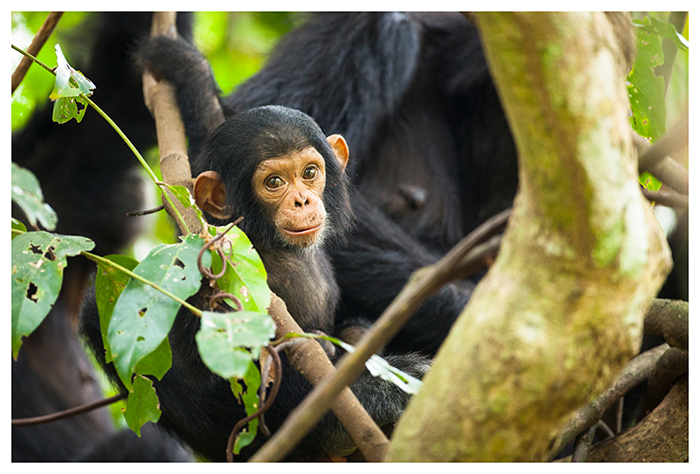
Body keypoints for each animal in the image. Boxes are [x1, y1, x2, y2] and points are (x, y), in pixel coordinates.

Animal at [79, 104, 430, 462]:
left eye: (310, 172)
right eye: (274, 182)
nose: (302, 200)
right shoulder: (204, 274)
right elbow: (207, 369)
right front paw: (374, 390)